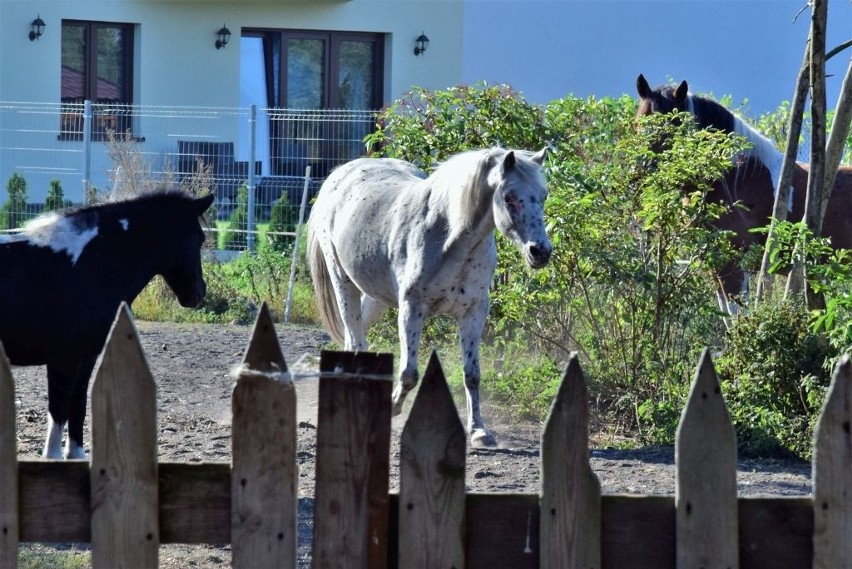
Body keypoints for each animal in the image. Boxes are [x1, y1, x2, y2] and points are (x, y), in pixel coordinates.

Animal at [0, 190, 213, 458]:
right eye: (199, 238)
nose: (198, 293)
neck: (90, 267)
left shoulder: (86, 358)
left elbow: (78, 406)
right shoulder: (64, 359)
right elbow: (58, 411)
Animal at [306, 145, 552, 444]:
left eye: (543, 195)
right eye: (509, 197)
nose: (540, 251)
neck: (449, 237)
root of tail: (338, 175)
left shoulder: (474, 313)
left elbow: (472, 374)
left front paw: (479, 430)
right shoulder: (412, 309)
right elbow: (409, 373)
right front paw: (393, 406)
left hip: (375, 296)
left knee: (353, 336)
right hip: (343, 283)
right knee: (355, 339)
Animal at [632, 75, 852, 302]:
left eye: (672, 126)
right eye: (638, 124)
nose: (637, 174)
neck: (734, 178)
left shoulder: (734, 265)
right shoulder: (715, 265)